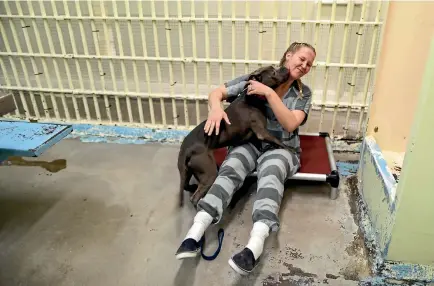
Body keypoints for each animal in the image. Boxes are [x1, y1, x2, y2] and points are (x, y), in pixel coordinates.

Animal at [177, 66, 294, 207]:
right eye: (273, 72)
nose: (285, 67)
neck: (252, 97)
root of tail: (186, 150)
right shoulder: (261, 132)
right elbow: (277, 140)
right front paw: (289, 149)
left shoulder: (255, 136)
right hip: (209, 171)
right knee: (194, 197)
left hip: (188, 171)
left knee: (186, 186)